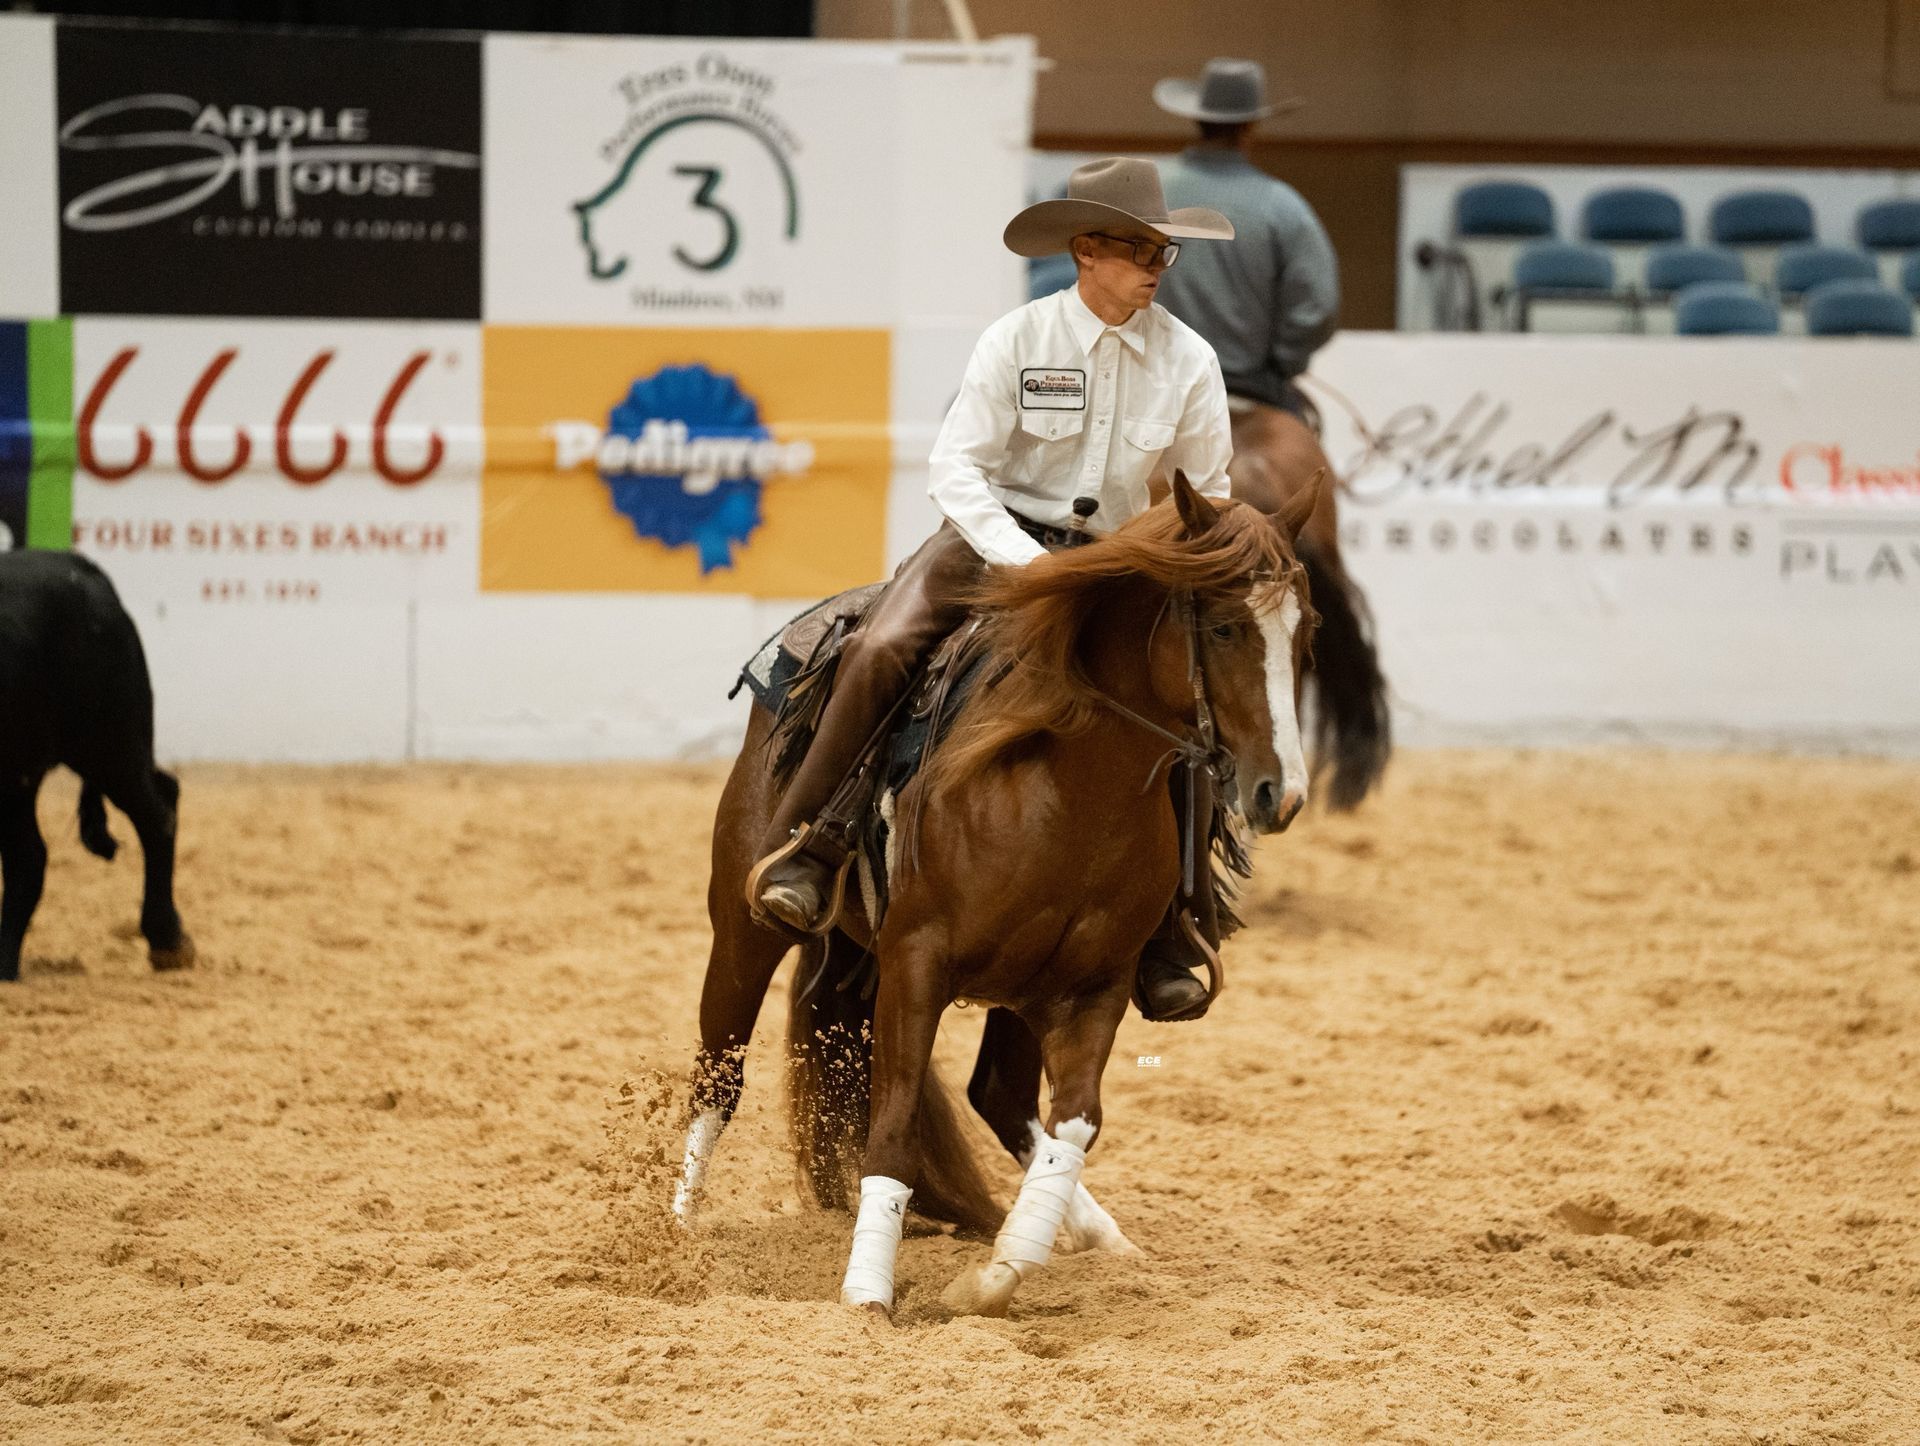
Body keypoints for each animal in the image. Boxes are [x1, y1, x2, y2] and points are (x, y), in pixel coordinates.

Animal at [673, 472, 1323, 1319]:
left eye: (1305, 633)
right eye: (1222, 627)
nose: (1283, 793)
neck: (1068, 783)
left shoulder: (1096, 984)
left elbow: (1074, 1124)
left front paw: (999, 1272)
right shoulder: (917, 963)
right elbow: (893, 1132)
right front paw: (865, 1294)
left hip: (1015, 986)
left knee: (1001, 1098)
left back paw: (1102, 1237)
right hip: (745, 927)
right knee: (719, 1074)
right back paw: (674, 1234)